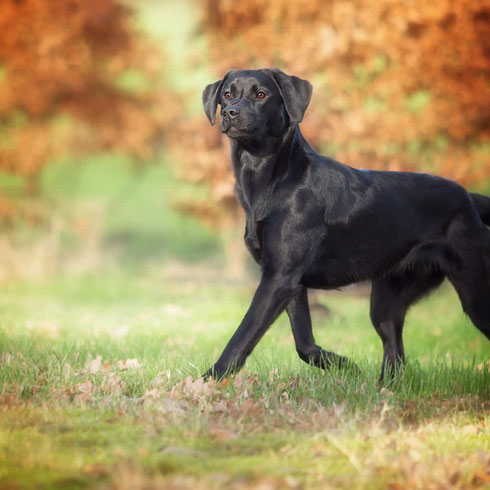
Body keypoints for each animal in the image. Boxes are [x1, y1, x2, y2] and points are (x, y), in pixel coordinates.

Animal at [200, 69, 490, 380]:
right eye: (227, 94)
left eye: (261, 94)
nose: (230, 112)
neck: (272, 178)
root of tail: (468, 197)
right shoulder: (290, 281)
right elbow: (304, 344)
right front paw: (343, 364)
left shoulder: (278, 277)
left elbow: (242, 336)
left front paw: (209, 380)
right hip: (386, 301)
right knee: (395, 355)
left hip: (475, 291)